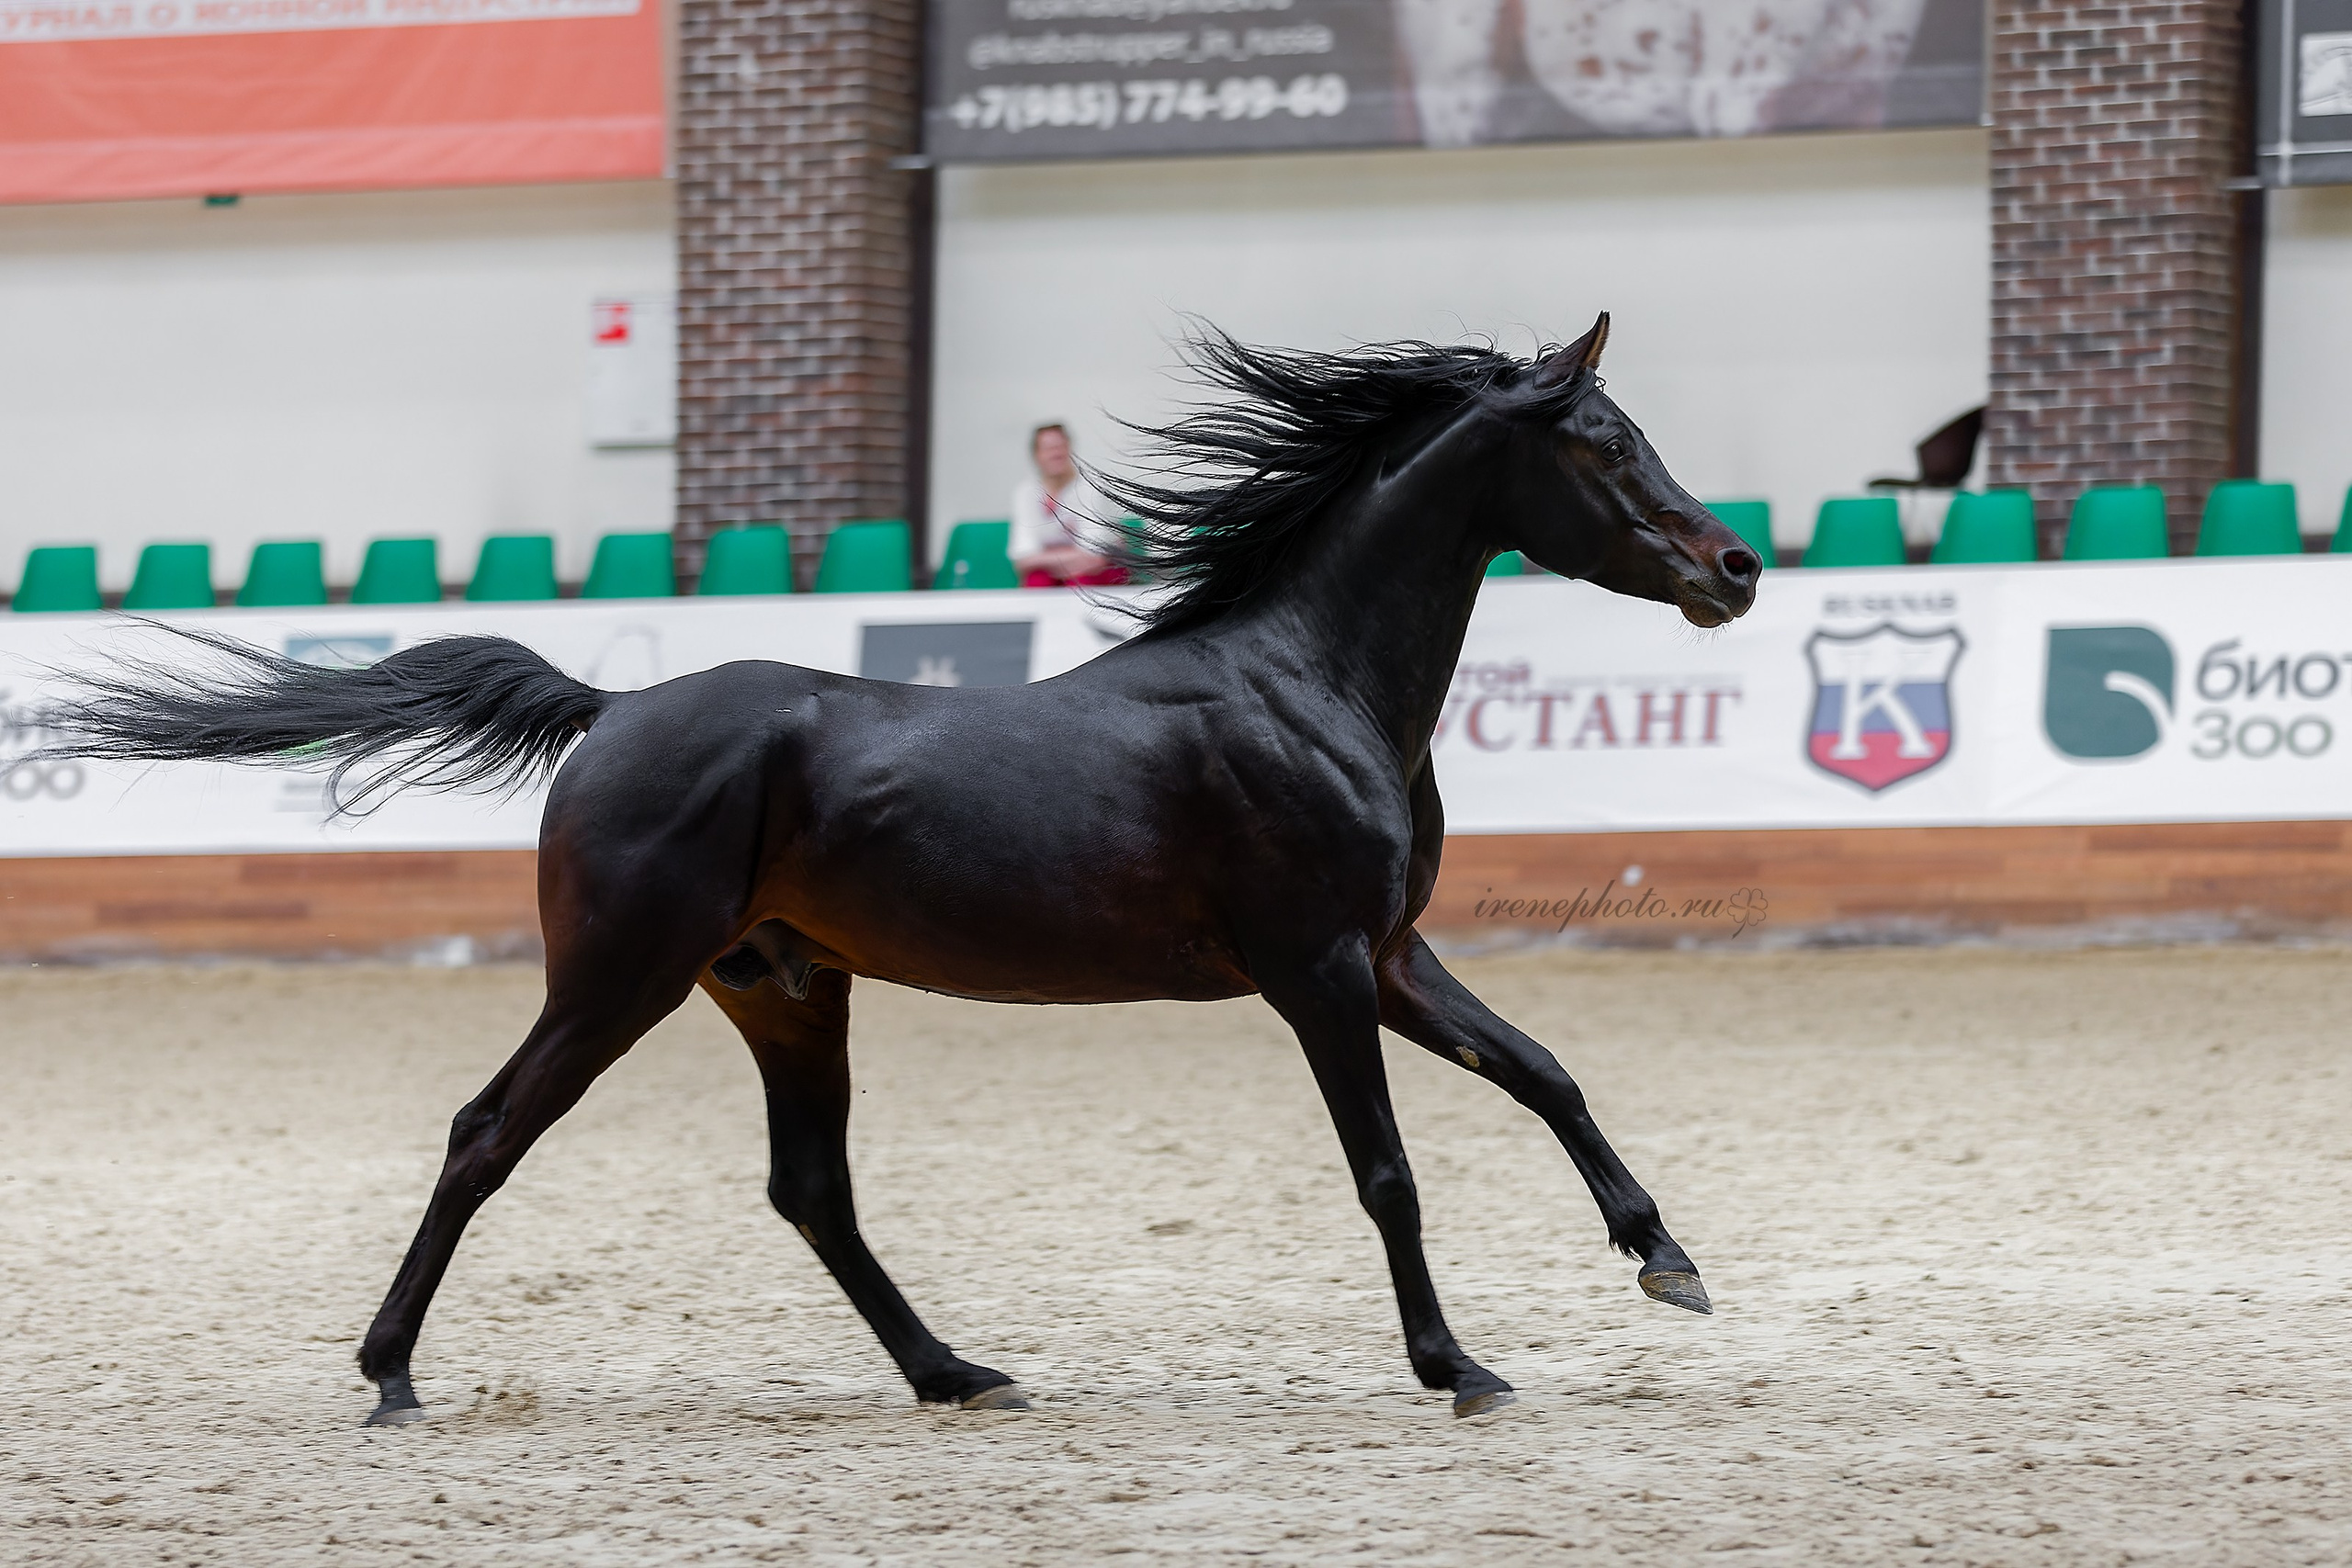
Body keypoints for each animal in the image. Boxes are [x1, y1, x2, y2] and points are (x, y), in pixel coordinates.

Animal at [44, 313, 1759, 1426]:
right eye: (1604, 443)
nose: (1736, 567)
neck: (1303, 683)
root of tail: (613, 709)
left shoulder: (1390, 955)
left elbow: (1545, 1071)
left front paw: (1666, 1262)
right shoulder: (1317, 970)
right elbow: (1389, 1169)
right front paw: (1458, 1367)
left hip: (785, 991)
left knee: (810, 1187)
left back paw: (956, 1372)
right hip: (619, 978)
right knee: (488, 1132)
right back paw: (391, 1372)